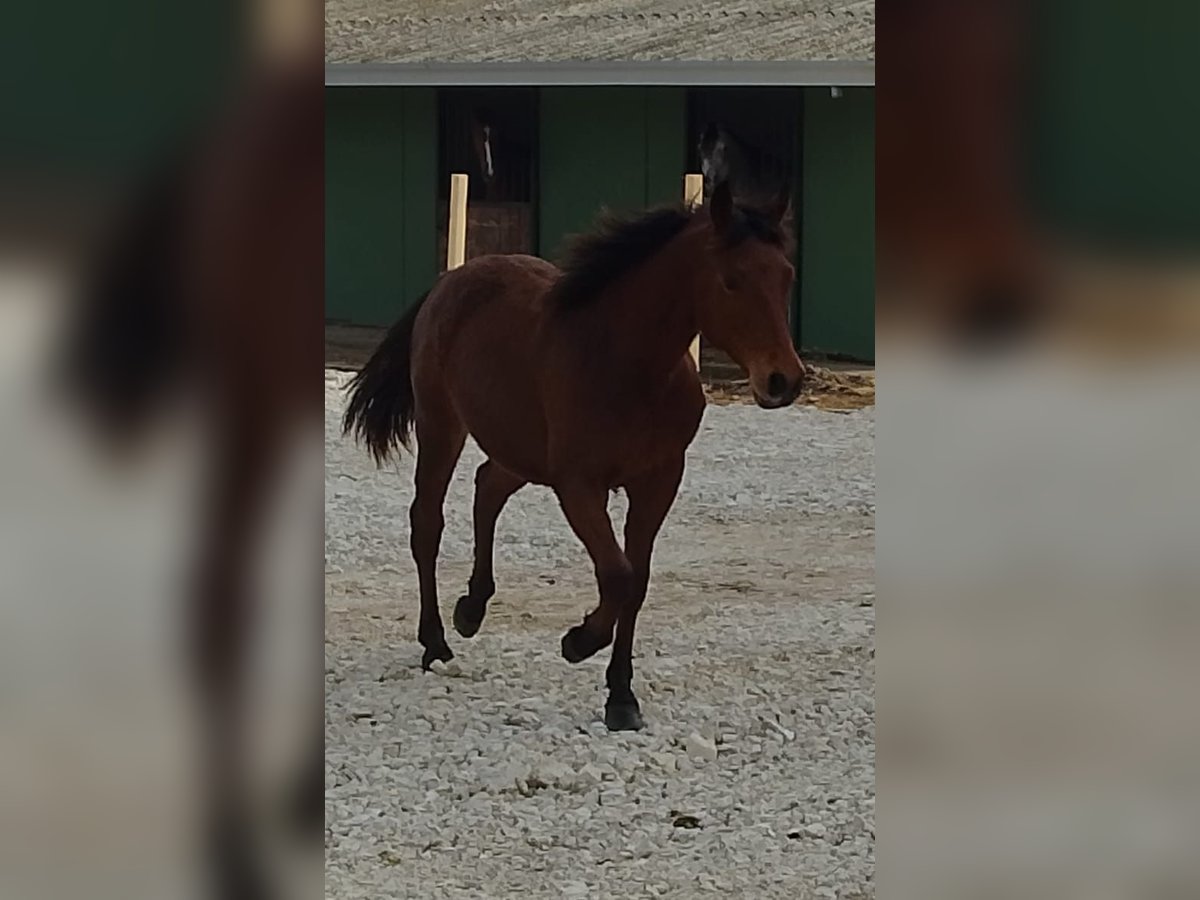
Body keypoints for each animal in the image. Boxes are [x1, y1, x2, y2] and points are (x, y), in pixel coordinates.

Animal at [345, 183, 806, 734]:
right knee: (427, 522)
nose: (783, 380)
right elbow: (618, 575)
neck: (629, 367)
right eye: (731, 280)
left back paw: (472, 609)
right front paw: (578, 642)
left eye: (786, 276)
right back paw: (436, 643)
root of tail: (449, 281)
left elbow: (636, 581)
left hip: (519, 448)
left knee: (487, 487)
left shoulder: (658, 482)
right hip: (443, 426)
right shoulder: (579, 485)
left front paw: (621, 697)